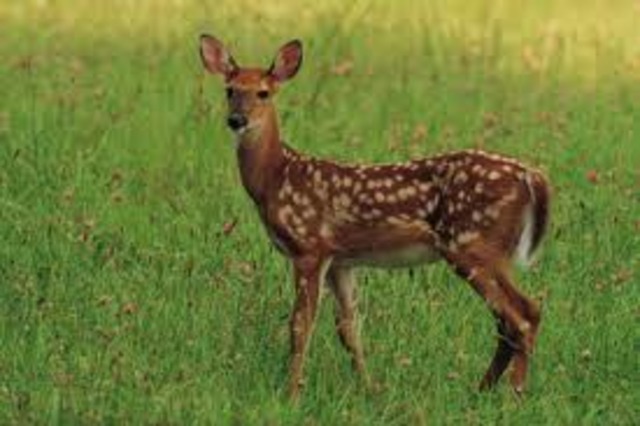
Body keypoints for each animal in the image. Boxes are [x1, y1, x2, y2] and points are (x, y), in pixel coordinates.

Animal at [199, 34, 551, 400]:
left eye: (263, 93)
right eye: (229, 90)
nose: (236, 120)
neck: (276, 177)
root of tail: (532, 177)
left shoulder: (309, 248)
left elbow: (300, 324)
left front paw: (291, 393)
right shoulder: (341, 260)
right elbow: (349, 329)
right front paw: (369, 388)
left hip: (472, 245)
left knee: (523, 315)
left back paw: (514, 394)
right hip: (488, 251)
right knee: (510, 319)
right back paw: (482, 390)